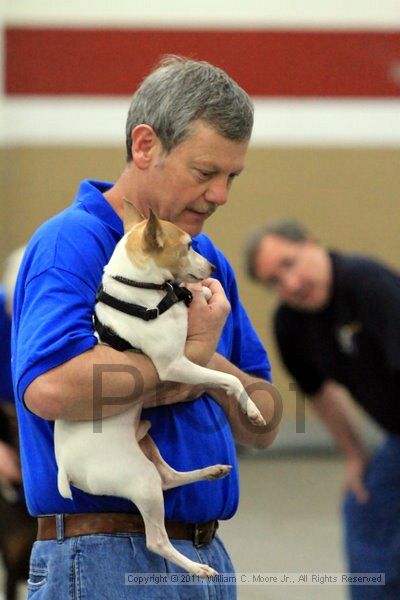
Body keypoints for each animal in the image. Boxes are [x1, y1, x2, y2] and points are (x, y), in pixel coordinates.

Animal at [54, 202, 266, 576]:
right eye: (188, 245)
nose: (213, 267)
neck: (141, 292)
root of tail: (65, 468)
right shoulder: (176, 365)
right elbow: (231, 380)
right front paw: (251, 410)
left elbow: (195, 295)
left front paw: (204, 291)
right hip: (142, 481)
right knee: (156, 539)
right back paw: (195, 568)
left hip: (146, 441)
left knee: (169, 476)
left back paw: (211, 470)